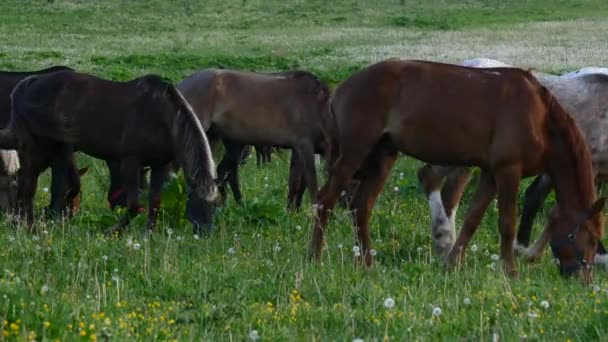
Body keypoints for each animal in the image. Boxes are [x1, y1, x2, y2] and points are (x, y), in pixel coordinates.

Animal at [177, 68, 328, 210]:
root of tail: (181, 85)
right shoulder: (303, 145)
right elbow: (309, 183)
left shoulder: (300, 150)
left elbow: (298, 183)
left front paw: (293, 210)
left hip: (217, 140)